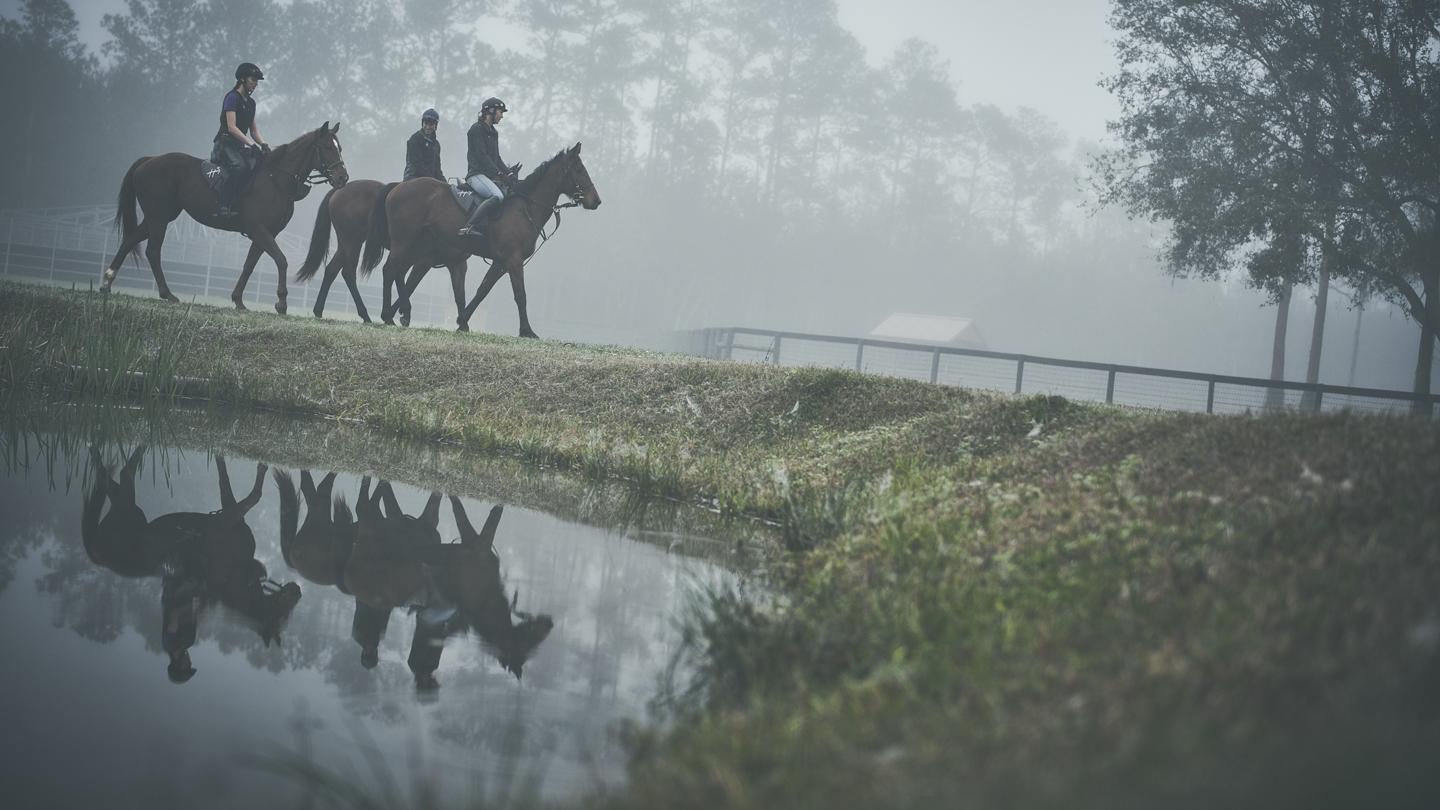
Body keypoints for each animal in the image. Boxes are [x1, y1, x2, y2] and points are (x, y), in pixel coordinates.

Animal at [102, 122, 349, 312]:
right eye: (327, 146)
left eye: (340, 147)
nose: (343, 178)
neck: (276, 179)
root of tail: (149, 160)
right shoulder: (259, 230)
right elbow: (281, 260)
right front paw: (281, 302)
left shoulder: (265, 233)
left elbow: (249, 265)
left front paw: (238, 300)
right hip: (159, 217)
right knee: (153, 251)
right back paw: (166, 293)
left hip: (159, 216)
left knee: (131, 239)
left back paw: (108, 282)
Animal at [292, 179, 397, 321]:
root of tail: (339, 189)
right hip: (352, 242)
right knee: (348, 273)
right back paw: (365, 315)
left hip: (345, 245)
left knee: (331, 270)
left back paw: (318, 310)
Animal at [368, 141, 604, 334]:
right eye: (579, 170)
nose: (596, 201)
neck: (525, 207)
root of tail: (399, 187)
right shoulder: (513, 261)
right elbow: (520, 295)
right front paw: (527, 331)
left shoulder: (498, 263)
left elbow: (480, 291)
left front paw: (463, 321)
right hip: (404, 242)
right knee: (390, 270)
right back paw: (388, 315)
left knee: (399, 273)